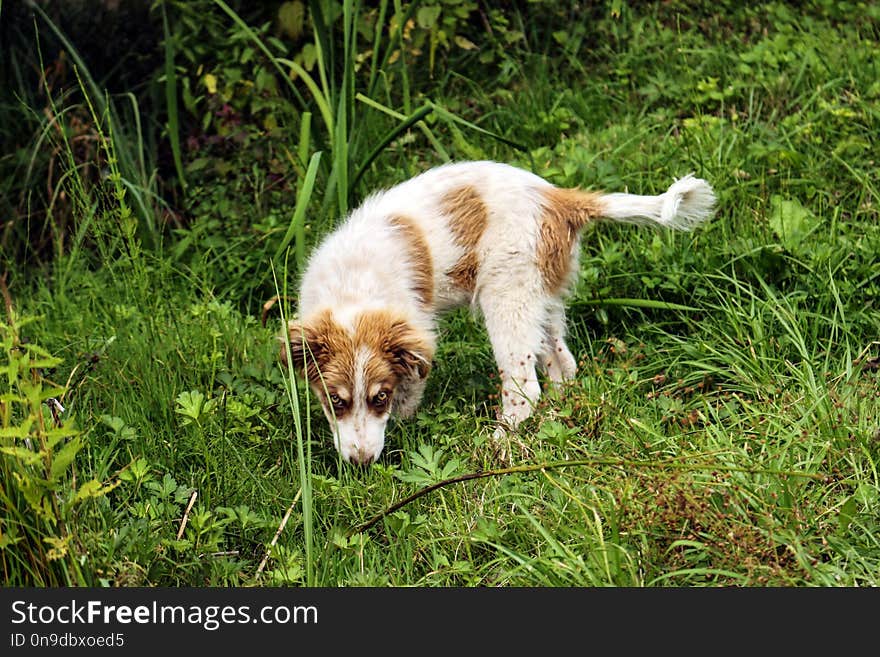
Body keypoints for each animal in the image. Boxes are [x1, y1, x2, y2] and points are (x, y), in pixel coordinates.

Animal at [282, 161, 716, 464]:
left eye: (379, 397)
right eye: (335, 401)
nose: (361, 463)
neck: (353, 288)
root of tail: (558, 198)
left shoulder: (420, 332)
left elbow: (411, 388)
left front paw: (403, 423)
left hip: (508, 293)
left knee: (525, 389)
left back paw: (497, 443)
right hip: (541, 296)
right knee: (563, 365)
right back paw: (557, 416)